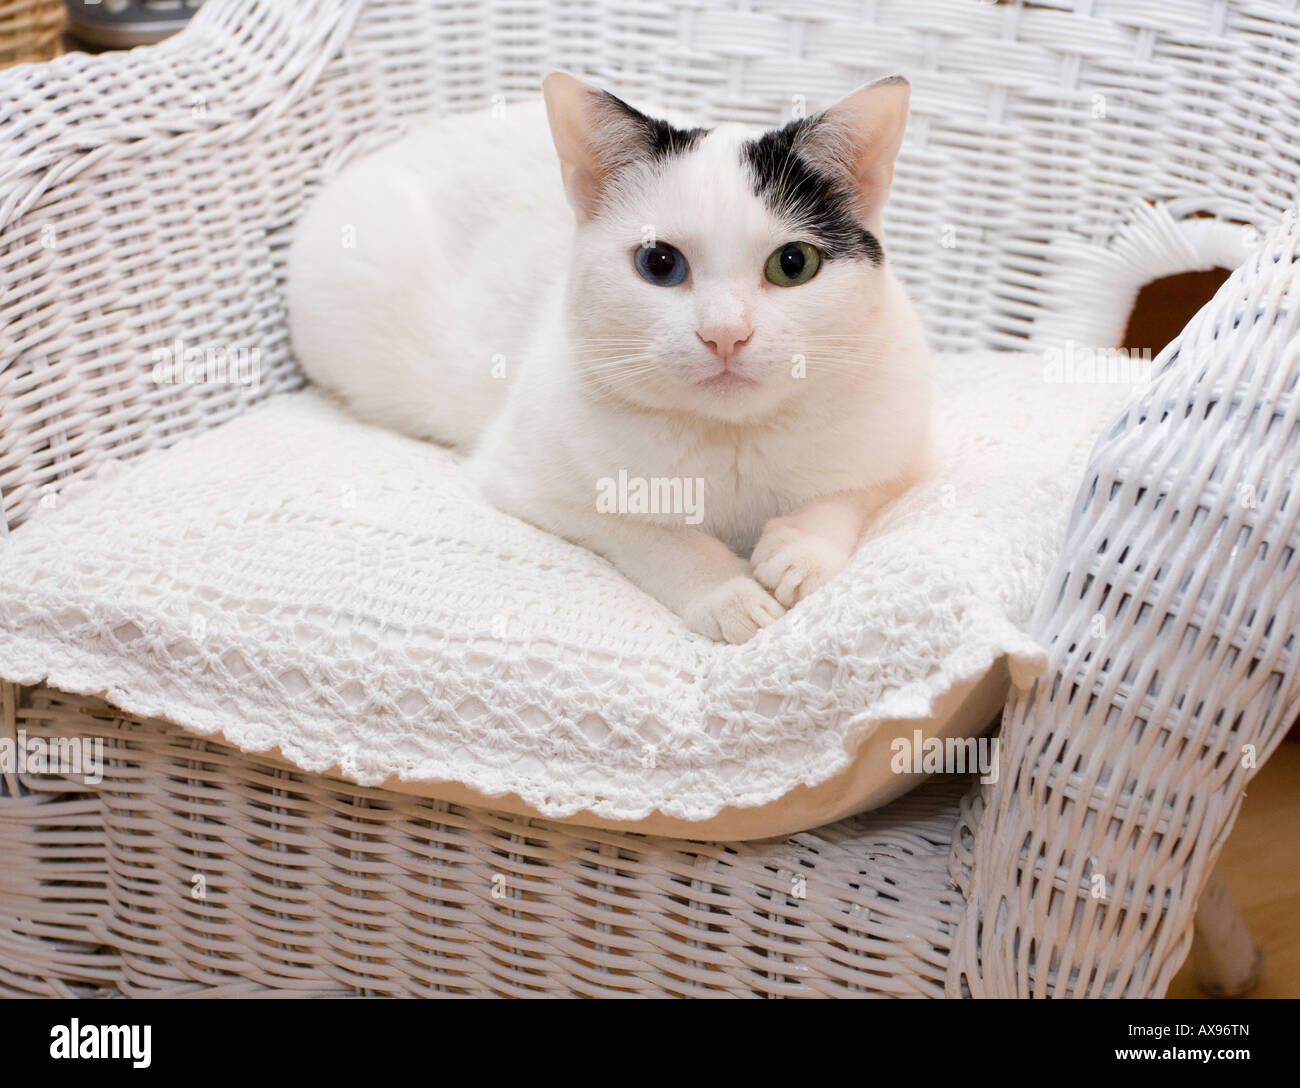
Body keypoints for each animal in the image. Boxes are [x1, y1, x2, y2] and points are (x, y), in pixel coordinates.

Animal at [288, 72, 930, 642]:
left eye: (793, 264)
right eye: (660, 264)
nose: (725, 334)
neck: (732, 440)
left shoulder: (907, 441)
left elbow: (850, 491)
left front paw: (800, 550)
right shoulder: (529, 482)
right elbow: (649, 532)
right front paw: (726, 591)